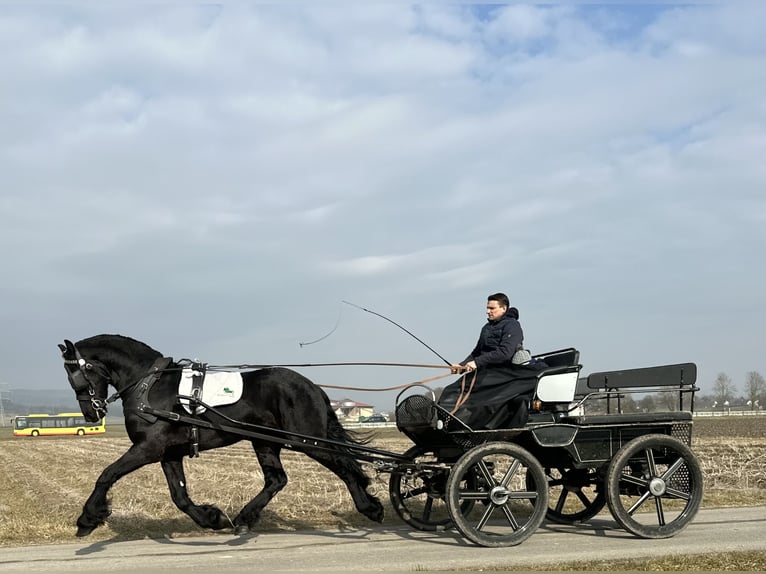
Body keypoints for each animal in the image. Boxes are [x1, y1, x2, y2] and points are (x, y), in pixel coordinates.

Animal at [58, 336, 384, 536]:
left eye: (77, 373)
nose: (91, 414)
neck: (150, 386)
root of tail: (312, 386)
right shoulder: (169, 453)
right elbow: (180, 496)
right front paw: (211, 519)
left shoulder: (148, 448)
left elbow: (107, 474)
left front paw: (88, 518)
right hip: (264, 441)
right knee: (277, 479)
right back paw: (244, 518)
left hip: (308, 440)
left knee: (345, 467)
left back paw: (371, 508)